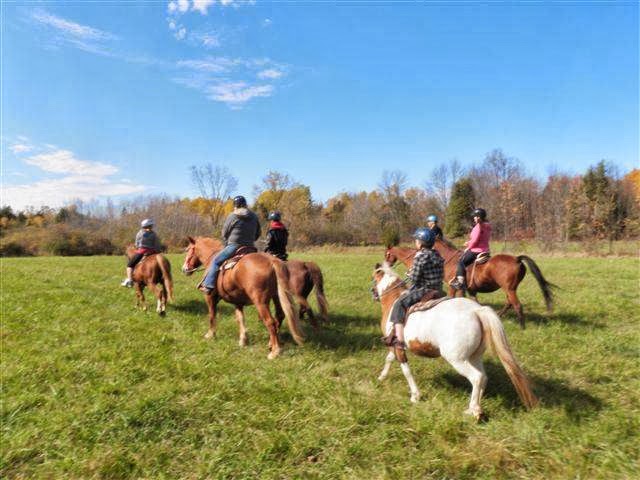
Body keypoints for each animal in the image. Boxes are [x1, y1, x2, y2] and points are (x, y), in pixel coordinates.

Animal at [372, 262, 536, 420]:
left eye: (373, 278)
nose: (373, 293)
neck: (393, 299)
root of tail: (477, 311)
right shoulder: (394, 346)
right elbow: (389, 359)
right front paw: (382, 377)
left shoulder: (398, 347)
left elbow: (406, 370)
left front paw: (415, 396)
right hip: (474, 357)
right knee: (483, 377)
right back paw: (472, 407)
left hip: (456, 359)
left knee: (477, 377)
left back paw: (476, 411)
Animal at [384, 238, 556, 328]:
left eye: (387, 254)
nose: (386, 264)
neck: (448, 259)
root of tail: (517, 259)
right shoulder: (470, 289)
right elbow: (473, 302)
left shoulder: (452, 286)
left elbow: (453, 298)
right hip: (510, 289)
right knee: (510, 303)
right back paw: (499, 316)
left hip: (510, 289)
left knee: (517, 305)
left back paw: (522, 326)